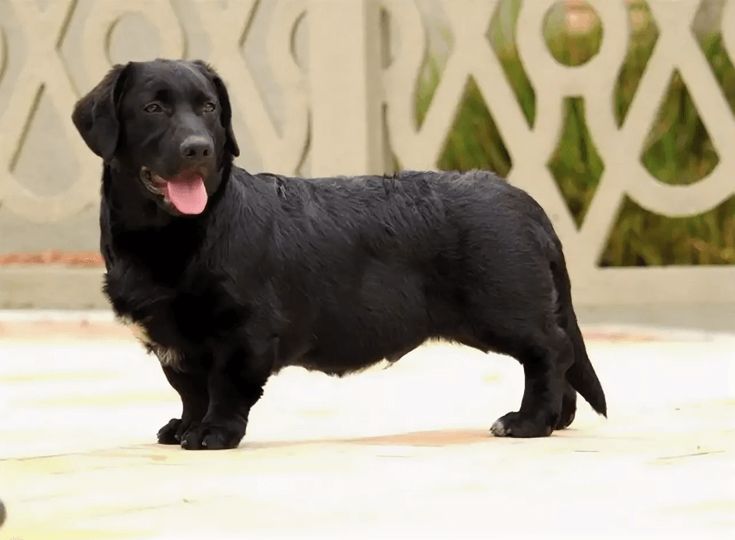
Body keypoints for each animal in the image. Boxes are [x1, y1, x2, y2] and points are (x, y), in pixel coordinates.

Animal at [72, 59, 608, 450]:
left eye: (207, 108)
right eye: (152, 108)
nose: (198, 149)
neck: (177, 233)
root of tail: (526, 202)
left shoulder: (244, 332)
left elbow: (223, 387)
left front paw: (213, 432)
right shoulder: (176, 344)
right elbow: (188, 389)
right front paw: (185, 426)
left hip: (504, 308)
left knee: (550, 352)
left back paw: (528, 422)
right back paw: (555, 419)